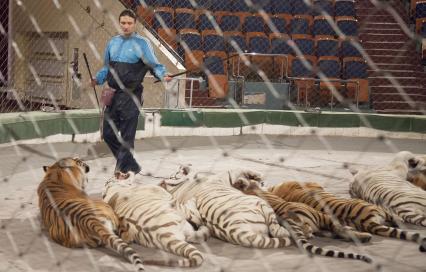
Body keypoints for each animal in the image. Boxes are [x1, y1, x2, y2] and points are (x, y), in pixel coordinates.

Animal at [159, 166, 292, 249]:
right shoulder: (227, 175)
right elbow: (239, 169)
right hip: (261, 203)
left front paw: (249, 181)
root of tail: (239, 231)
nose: (182, 166)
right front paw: (258, 177)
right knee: (276, 230)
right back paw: (286, 231)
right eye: (173, 175)